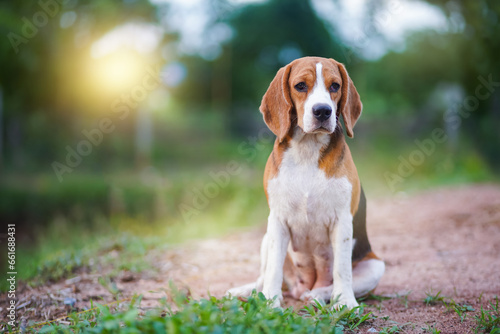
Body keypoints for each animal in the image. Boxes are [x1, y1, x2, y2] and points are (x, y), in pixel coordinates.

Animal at [229, 56, 384, 310]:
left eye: (335, 86)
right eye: (300, 86)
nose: (322, 111)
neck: (307, 149)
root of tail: (302, 287)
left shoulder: (342, 220)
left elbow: (342, 269)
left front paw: (346, 303)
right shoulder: (278, 220)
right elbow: (273, 270)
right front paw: (270, 303)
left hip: (375, 265)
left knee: (334, 283)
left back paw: (319, 294)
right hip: (266, 237)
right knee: (264, 277)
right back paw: (248, 291)